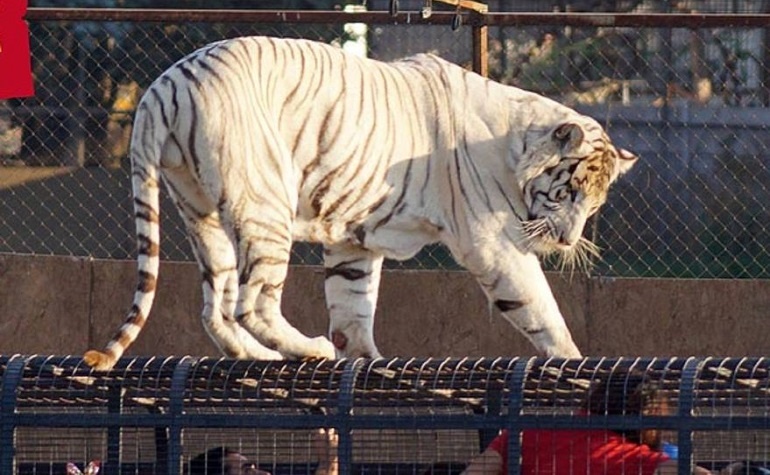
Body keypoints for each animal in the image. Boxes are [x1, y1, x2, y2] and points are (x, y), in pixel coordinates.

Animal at [84, 36, 637, 371]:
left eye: (595, 205)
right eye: (568, 193)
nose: (568, 239)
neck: (512, 145)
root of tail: (164, 87)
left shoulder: (354, 238)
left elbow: (353, 305)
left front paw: (366, 358)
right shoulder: (492, 243)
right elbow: (540, 308)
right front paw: (573, 359)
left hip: (199, 210)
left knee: (215, 309)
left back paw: (265, 358)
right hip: (264, 204)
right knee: (253, 302)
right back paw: (310, 349)